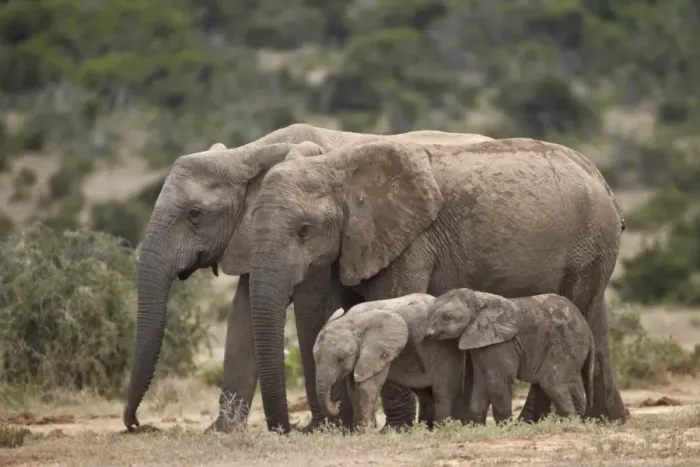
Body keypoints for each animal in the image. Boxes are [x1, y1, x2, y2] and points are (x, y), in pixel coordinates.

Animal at [313, 293, 471, 430]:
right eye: (315, 358)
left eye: (341, 359)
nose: (337, 403)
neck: (352, 320)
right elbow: (353, 387)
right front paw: (360, 431)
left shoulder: (378, 351)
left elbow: (365, 387)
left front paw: (364, 432)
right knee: (425, 394)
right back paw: (426, 428)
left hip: (446, 349)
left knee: (442, 392)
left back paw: (440, 428)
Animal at [423, 288, 595, 424]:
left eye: (446, 317)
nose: (425, 335)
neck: (479, 298)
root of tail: (587, 327)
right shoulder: (480, 341)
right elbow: (480, 382)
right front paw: (477, 426)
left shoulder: (501, 342)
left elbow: (498, 381)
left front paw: (505, 427)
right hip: (575, 347)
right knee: (571, 381)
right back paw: (578, 420)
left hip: (568, 342)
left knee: (551, 382)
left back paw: (568, 423)